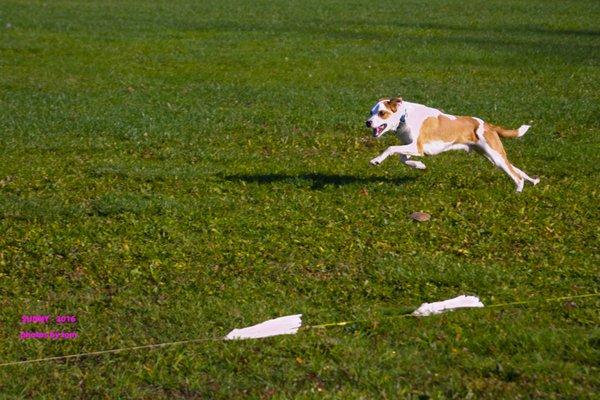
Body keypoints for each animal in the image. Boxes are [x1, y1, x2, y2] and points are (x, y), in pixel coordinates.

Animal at [366, 96, 540, 191]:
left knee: (517, 177)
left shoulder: (417, 147)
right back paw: (533, 181)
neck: (404, 117)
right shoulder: (410, 147)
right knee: (516, 170)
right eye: (371, 112)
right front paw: (420, 165)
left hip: (495, 156)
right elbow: (403, 158)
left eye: (382, 113)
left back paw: (517, 192)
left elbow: (390, 148)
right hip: (493, 157)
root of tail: (489, 125)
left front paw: (376, 160)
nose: (367, 122)